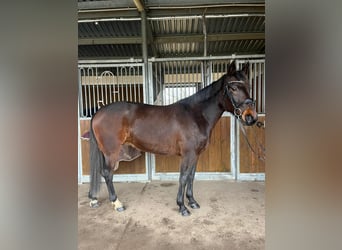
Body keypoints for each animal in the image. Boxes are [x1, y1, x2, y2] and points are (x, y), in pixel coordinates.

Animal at [87, 60, 256, 215]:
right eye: (233, 88)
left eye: (249, 86)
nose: (250, 117)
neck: (196, 115)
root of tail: (98, 112)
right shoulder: (187, 154)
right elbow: (183, 177)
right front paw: (182, 207)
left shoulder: (195, 155)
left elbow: (191, 177)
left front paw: (192, 201)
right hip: (111, 152)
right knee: (107, 173)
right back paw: (117, 203)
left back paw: (94, 199)